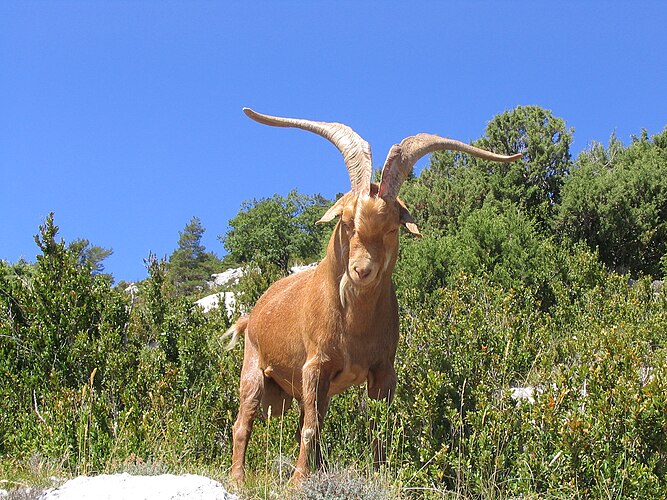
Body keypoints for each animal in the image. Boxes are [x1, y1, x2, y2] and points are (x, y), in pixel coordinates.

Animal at [224, 106, 520, 484]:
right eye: (347, 221)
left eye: (393, 228)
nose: (361, 271)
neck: (354, 325)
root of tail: (252, 314)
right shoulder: (315, 365)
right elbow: (310, 428)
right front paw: (297, 482)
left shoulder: (382, 370)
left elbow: (376, 427)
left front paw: (379, 475)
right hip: (254, 371)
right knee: (243, 423)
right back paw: (237, 478)